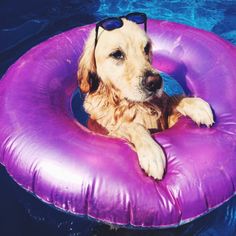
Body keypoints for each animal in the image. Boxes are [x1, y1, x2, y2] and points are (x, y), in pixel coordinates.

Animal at [77, 17, 214, 179]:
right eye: (117, 54)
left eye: (146, 48)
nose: (155, 82)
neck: (132, 106)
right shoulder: (106, 129)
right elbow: (133, 126)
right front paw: (151, 152)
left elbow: (172, 99)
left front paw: (196, 105)